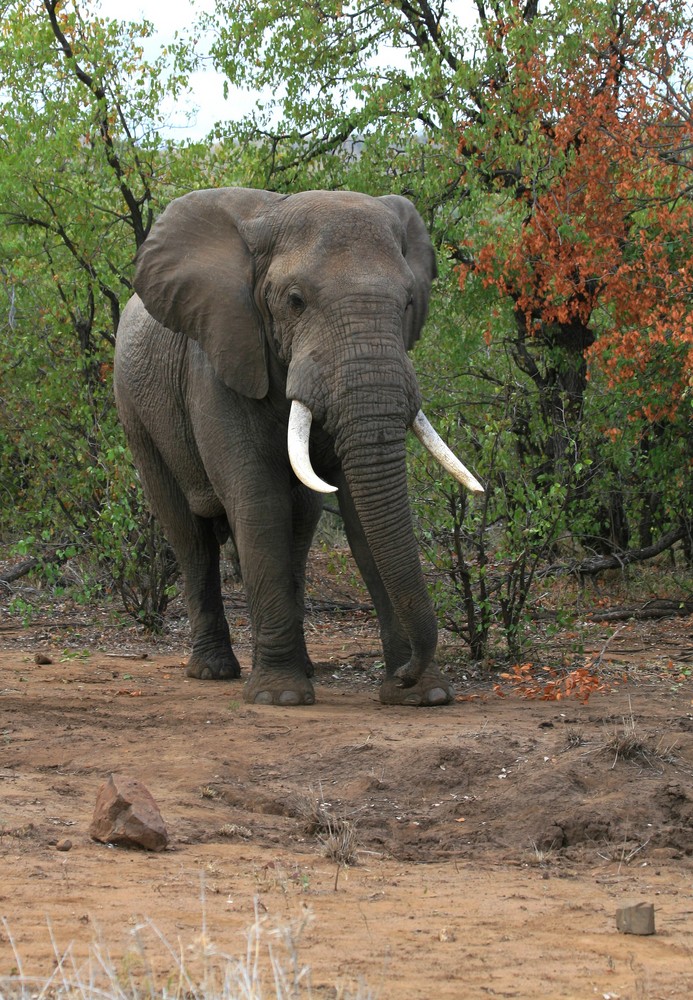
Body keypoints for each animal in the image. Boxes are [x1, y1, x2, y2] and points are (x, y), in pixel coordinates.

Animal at [113, 186, 482, 704]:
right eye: (295, 301)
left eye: (410, 301)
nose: (408, 674)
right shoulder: (221, 359)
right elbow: (258, 501)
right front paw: (280, 698)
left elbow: (359, 512)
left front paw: (423, 696)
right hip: (135, 413)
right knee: (189, 537)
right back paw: (214, 671)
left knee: (301, 528)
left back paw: (303, 667)